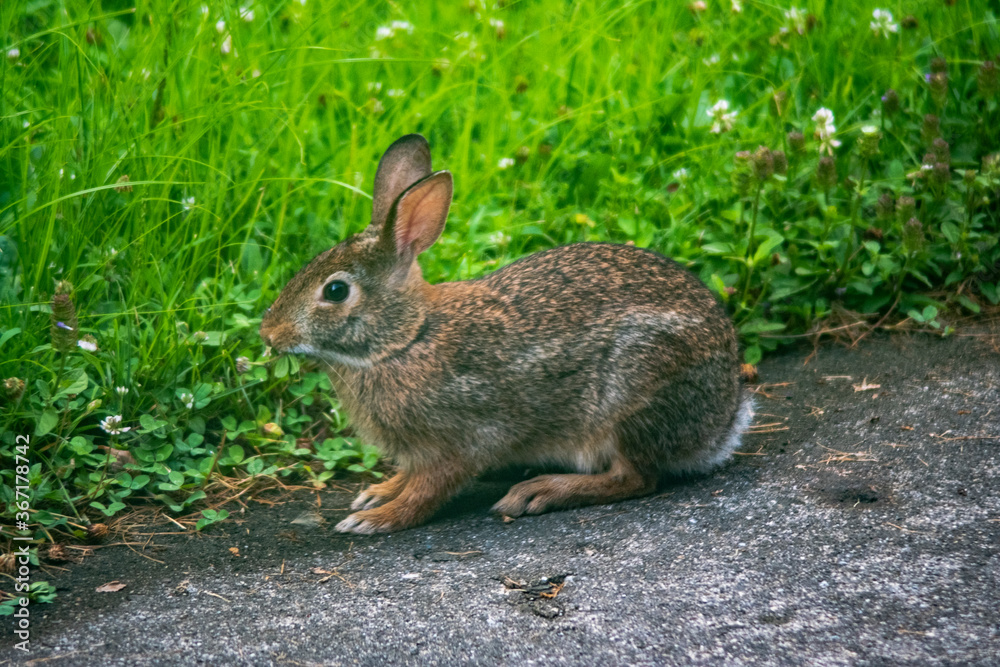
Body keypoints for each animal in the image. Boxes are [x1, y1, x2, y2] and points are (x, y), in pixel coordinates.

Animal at [259, 134, 754, 534]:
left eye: (335, 291)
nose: (269, 333)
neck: (406, 339)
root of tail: (723, 419)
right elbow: (410, 478)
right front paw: (378, 493)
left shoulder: (461, 440)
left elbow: (428, 491)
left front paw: (377, 519)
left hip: (632, 395)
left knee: (634, 478)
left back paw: (540, 491)